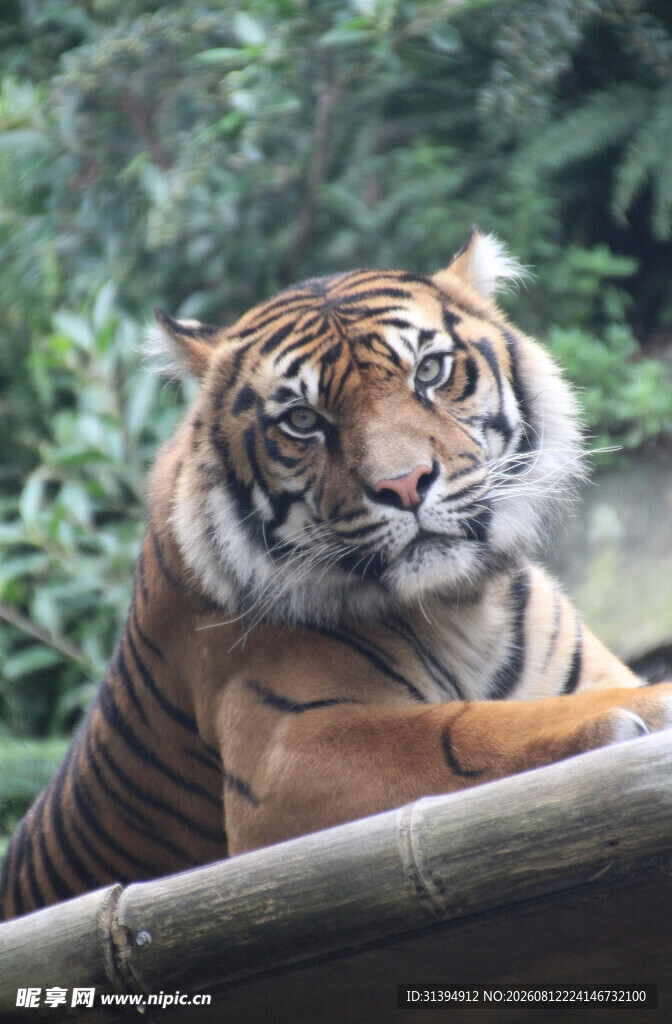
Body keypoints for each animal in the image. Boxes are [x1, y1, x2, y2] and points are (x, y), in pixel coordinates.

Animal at [2, 227, 671, 922]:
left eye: (428, 371)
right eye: (302, 420)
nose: (405, 485)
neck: (460, 607)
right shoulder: (287, 754)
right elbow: (464, 728)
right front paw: (645, 708)